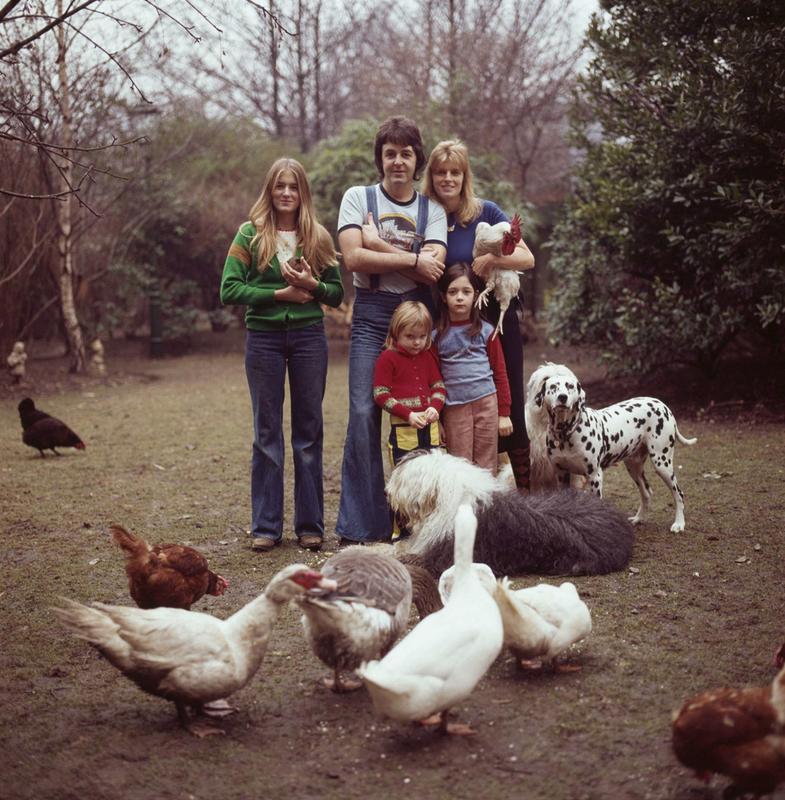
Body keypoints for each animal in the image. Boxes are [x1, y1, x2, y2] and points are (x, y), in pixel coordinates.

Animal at [528, 362, 696, 532]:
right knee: (647, 493)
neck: (566, 433)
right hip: (634, 467)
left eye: (570, 386)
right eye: (553, 386)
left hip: (662, 464)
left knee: (679, 494)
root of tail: (661, 404)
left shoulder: (595, 476)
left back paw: (679, 524)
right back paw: (639, 519)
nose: (562, 397)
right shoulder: (561, 474)